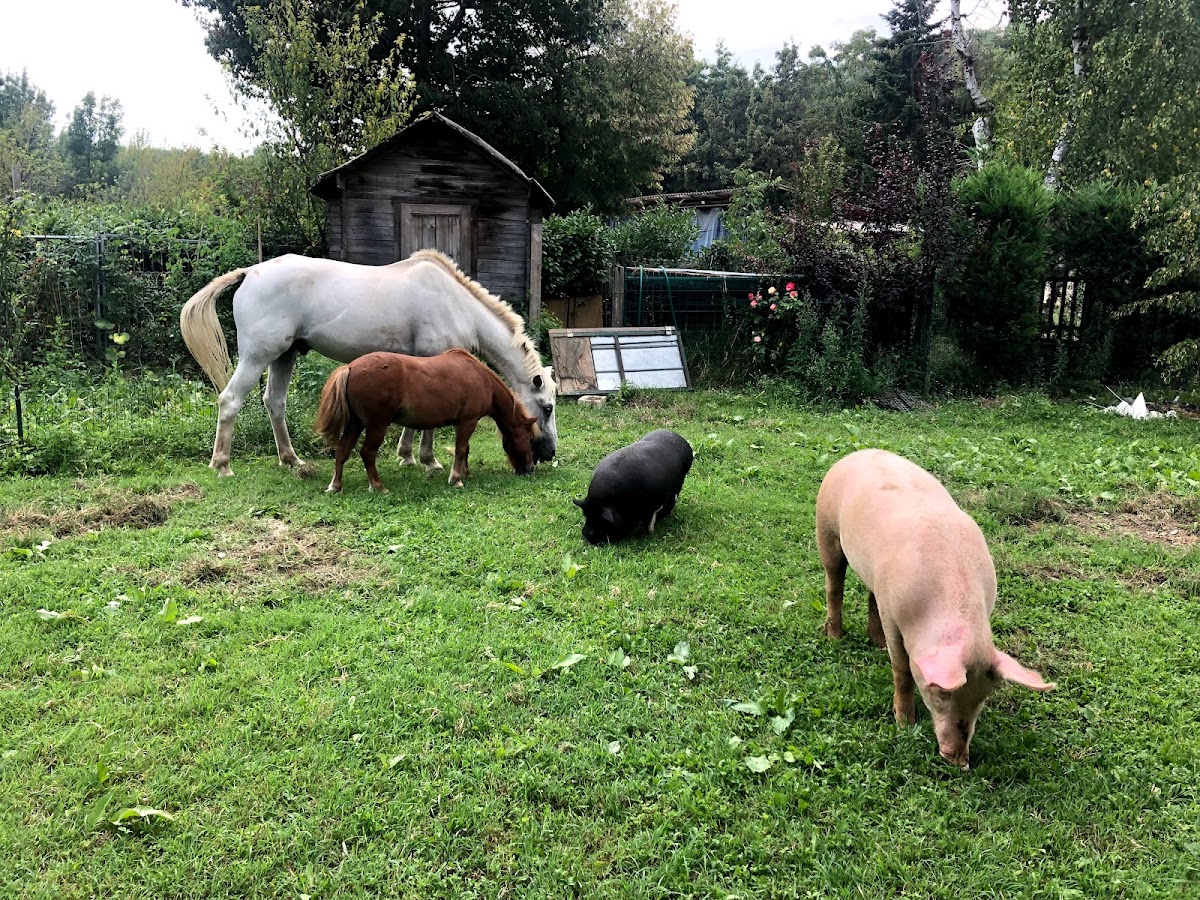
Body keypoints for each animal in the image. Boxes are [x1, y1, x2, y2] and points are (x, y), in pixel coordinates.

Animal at [312, 352, 537, 494]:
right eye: (530, 438)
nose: (529, 468)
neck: (481, 378)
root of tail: (350, 367)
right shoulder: (468, 421)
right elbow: (460, 449)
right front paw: (456, 479)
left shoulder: (463, 423)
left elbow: (465, 449)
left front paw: (465, 473)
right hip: (376, 425)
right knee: (367, 453)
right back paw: (377, 486)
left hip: (355, 423)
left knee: (342, 449)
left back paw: (335, 486)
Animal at [811, 448, 1056, 768]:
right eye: (940, 695)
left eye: (983, 697)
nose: (959, 760)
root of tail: (859, 453)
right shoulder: (894, 617)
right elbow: (902, 670)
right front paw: (905, 723)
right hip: (826, 527)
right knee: (834, 583)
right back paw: (835, 637)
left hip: (874, 574)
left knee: (870, 594)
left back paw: (876, 643)